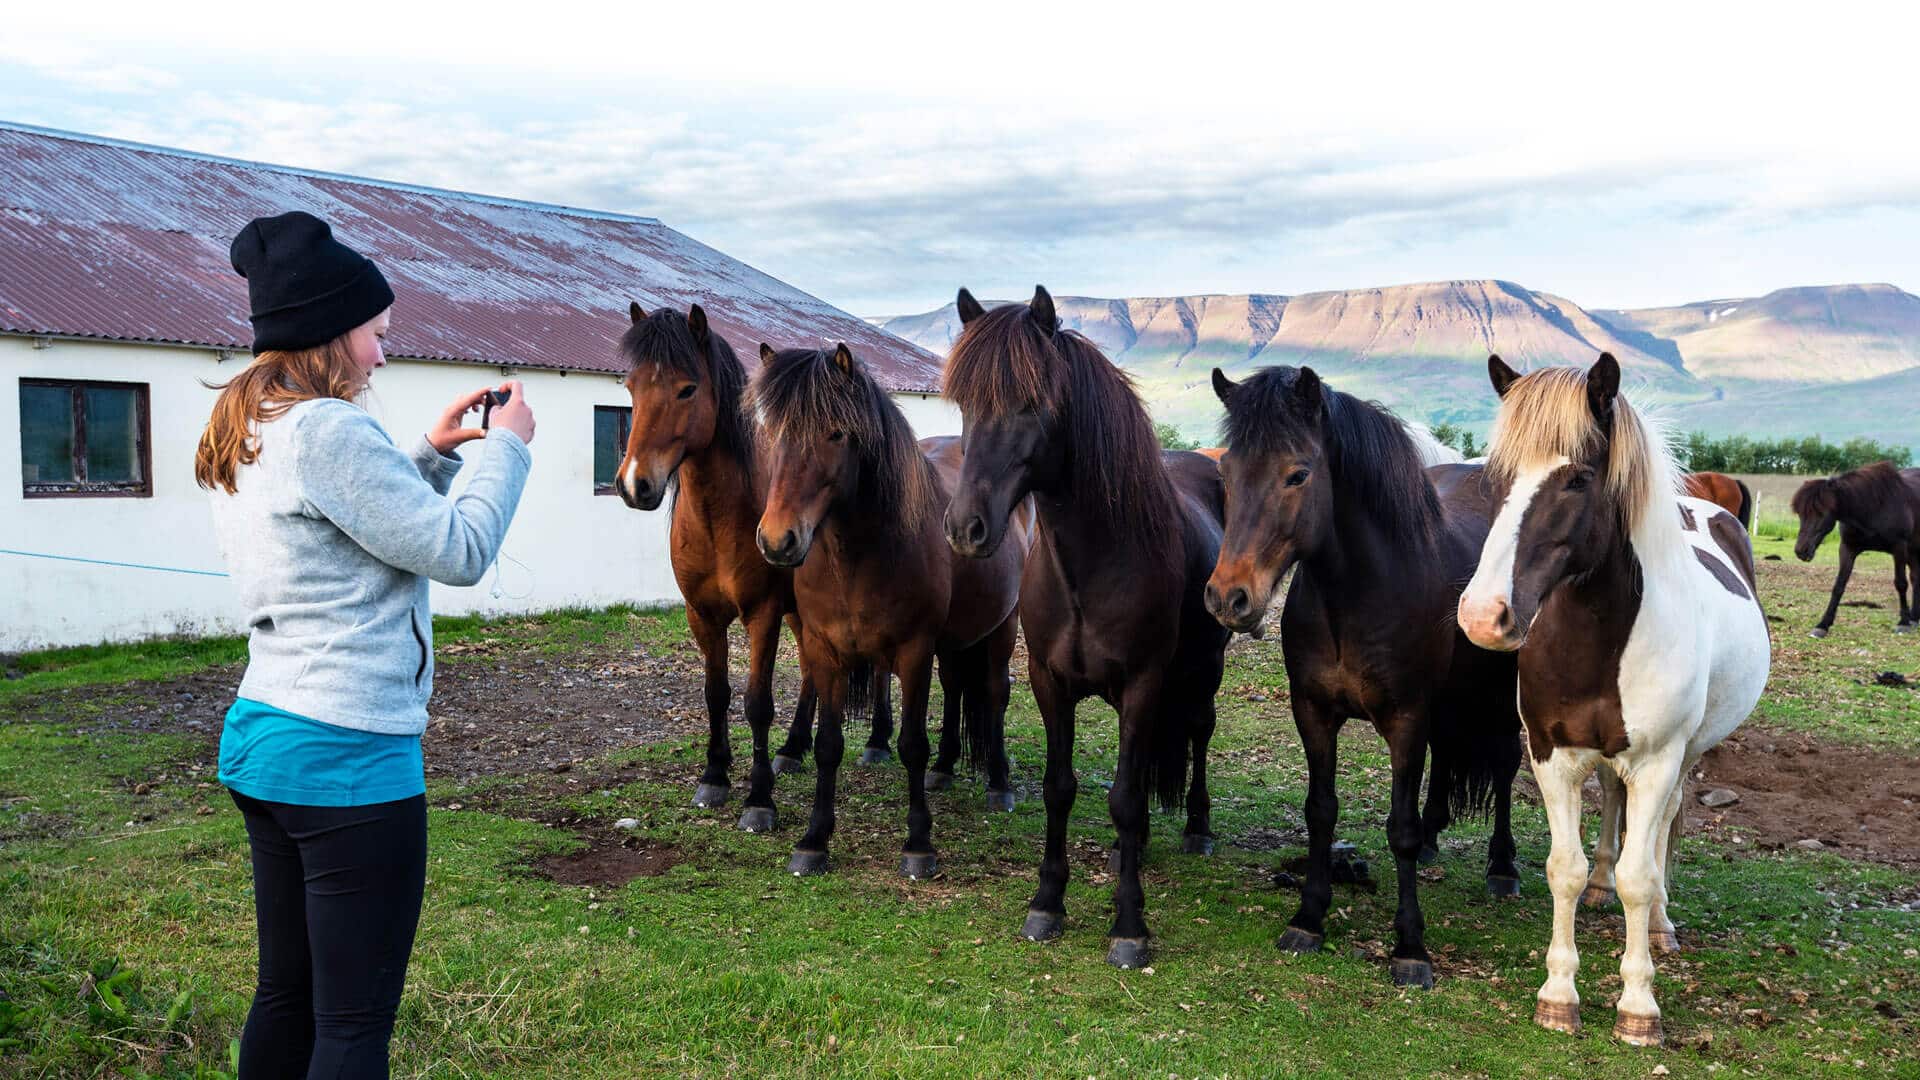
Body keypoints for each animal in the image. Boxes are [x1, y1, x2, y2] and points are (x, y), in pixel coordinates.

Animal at [744, 342, 1029, 876]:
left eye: (836, 433)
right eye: (772, 433)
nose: (777, 540)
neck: (859, 557)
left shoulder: (915, 651)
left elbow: (912, 745)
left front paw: (918, 845)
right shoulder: (824, 650)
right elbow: (828, 745)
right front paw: (814, 840)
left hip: (1003, 626)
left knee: (996, 693)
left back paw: (999, 784)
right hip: (954, 641)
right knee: (956, 688)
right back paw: (945, 768)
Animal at [940, 286, 1228, 968]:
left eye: (1030, 403)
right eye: (965, 403)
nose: (965, 528)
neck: (1093, 564)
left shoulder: (1145, 684)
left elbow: (1122, 797)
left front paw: (1129, 924)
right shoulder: (1050, 683)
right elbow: (1061, 787)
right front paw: (1047, 902)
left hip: (1204, 673)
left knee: (1198, 734)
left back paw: (1196, 828)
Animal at [1205, 363, 1520, 983]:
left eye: (1298, 474)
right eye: (1225, 471)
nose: (1229, 597)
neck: (1355, 597)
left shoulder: (1405, 719)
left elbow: (1398, 829)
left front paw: (1410, 947)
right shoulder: (1314, 712)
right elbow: (1320, 811)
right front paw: (1309, 917)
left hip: (1502, 695)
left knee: (1504, 765)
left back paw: (1502, 867)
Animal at [1451, 353, 1766, 1045]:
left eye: (1577, 479)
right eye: (1498, 478)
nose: (1484, 616)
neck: (1601, 640)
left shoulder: (1657, 760)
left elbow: (1640, 877)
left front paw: (1638, 1006)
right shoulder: (1553, 755)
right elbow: (1563, 869)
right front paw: (1558, 996)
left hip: (1686, 755)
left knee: (1665, 827)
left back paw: (1662, 926)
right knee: (1611, 807)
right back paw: (1600, 888)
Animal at [1781, 461, 1920, 630]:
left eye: (1821, 513)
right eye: (1801, 514)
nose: (1801, 550)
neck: (1874, 507)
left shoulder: (1899, 547)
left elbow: (1901, 583)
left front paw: (1903, 622)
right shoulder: (1848, 548)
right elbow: (1839, 586)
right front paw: (1823, 624)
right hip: (1912, 552)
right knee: (1916, 577)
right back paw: (1915, 618)